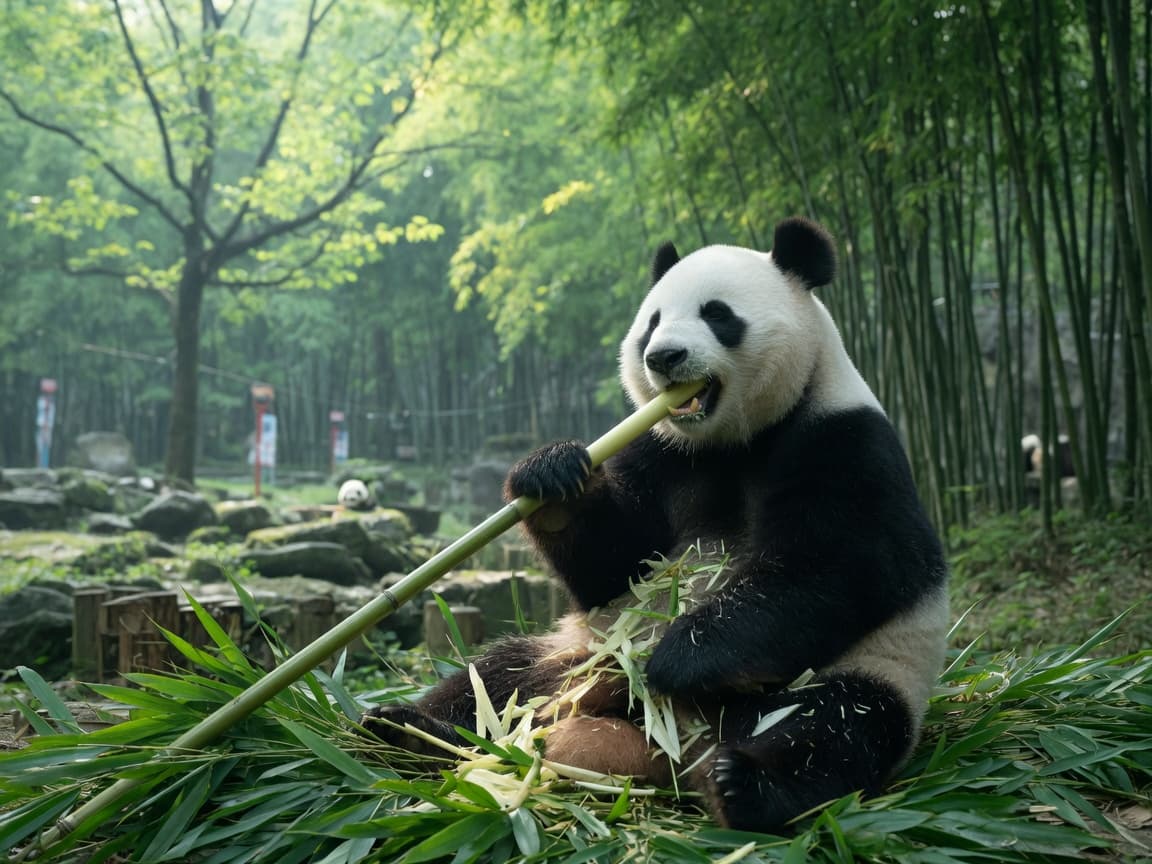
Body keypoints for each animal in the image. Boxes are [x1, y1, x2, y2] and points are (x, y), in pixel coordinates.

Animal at [361, 217, 949, 832]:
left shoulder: (843, 440)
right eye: (652, 323)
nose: (664, 357)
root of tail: (669, 748)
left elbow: (844, 567)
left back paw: (745, 783)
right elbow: (613, 565)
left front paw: (679, 657)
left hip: (861, 674)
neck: (733, 440)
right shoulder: (661, 451)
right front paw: (553, 476)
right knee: (495, 679)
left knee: (835, 725)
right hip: (573, 657)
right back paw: (408, 729)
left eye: (718, 314)